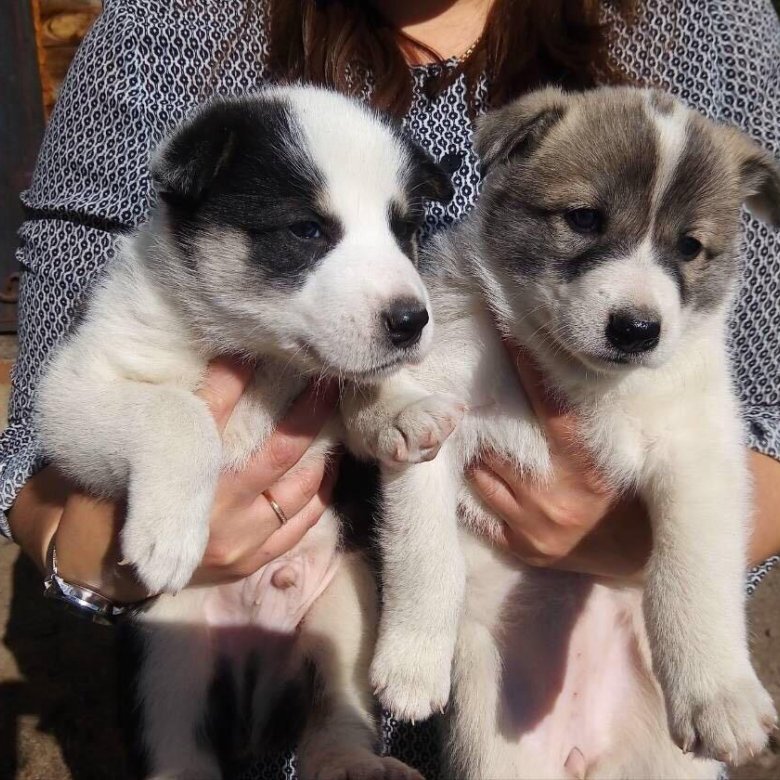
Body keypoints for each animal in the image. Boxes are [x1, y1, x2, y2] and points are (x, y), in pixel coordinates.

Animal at [36, 87, 450, 780]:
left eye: (404, 230)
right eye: (307, 230)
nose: (411, 321)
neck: (266, 359)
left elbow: (388, 441)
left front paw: (399, 404)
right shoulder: (74, 391)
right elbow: (178, 412)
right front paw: (169, 533)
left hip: (344, 610)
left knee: (331, 717)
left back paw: (353, 761)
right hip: (165, 652)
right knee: (178, 744)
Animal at [348, 87, 780, 780]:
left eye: (689, 248)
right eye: (583, 219)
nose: (638, 329)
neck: (575, 376)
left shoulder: (700, 453)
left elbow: (693, 570)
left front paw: (721, 697)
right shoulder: (434, 423)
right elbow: (425, 551)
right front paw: (413, 663)